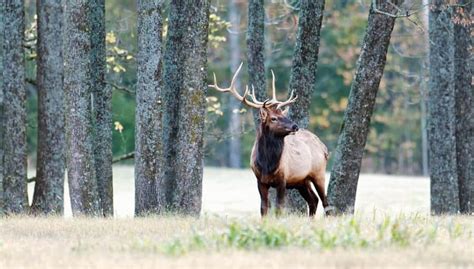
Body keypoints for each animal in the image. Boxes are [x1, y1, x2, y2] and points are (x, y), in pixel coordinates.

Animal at [209, 62, 332, 216]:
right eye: (273, 118)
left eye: (283, 114)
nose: (295, 126)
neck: (267, 164)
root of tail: (324, 147)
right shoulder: (260, 180)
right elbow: (263, 208)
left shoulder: (283, 179)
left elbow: (279, 207)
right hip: (302, 181)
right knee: (313, 200)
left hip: (318, 173)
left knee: (325, 202)